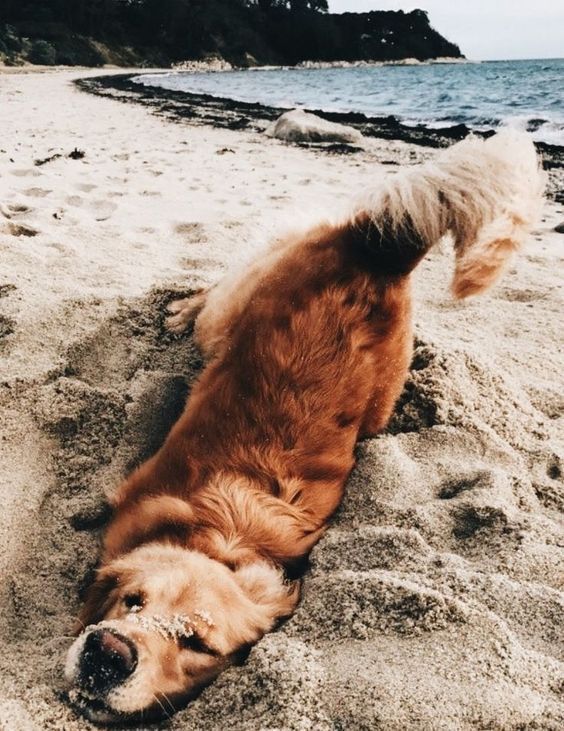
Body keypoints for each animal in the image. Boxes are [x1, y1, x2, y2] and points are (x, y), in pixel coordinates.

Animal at [64, 130, 544, 720]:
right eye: (132, 601)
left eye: (197, 643)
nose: (106, 651)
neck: (226, 544)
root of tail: (379, 249)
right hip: (236, 313)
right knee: (216, 294)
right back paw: (180, 310)